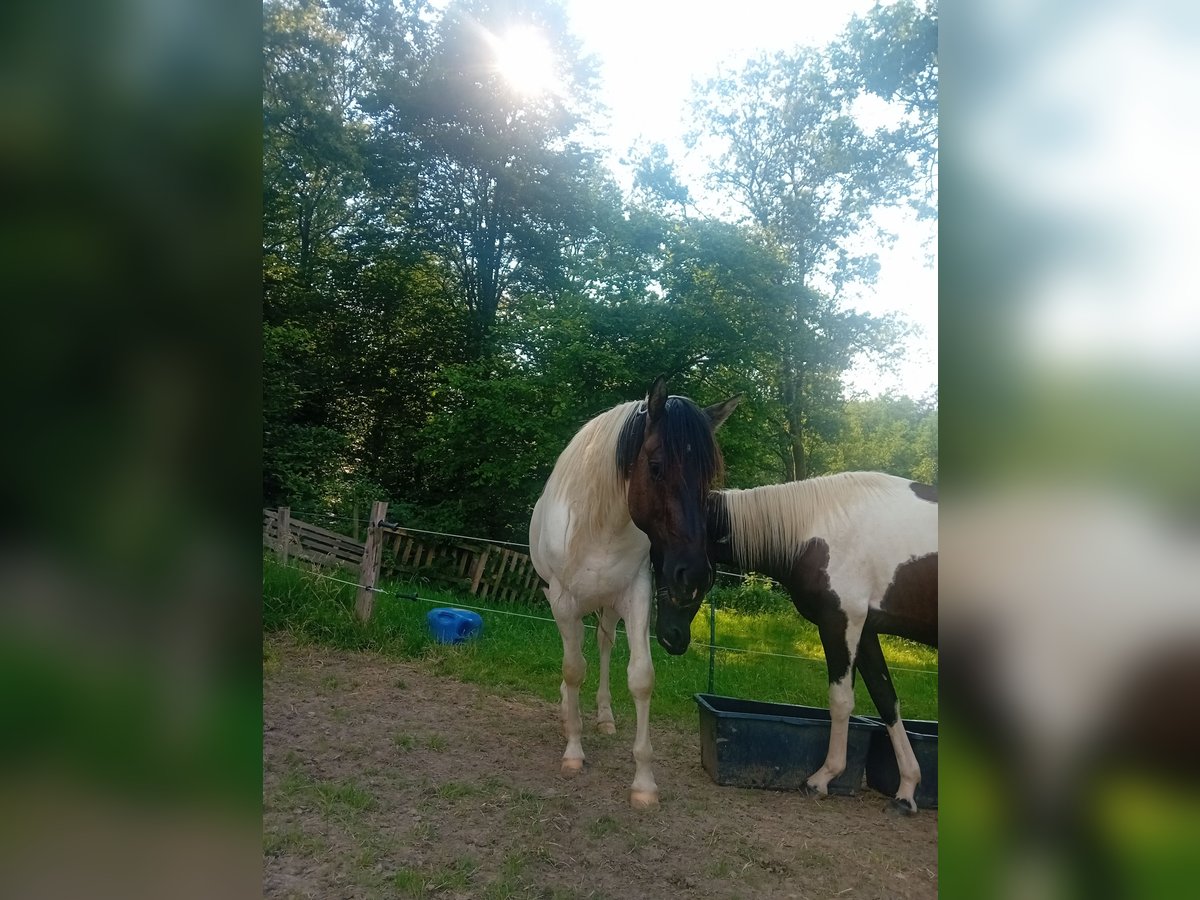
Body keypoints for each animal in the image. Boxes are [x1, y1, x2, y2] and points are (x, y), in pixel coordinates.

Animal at [528, 376, 734, 816]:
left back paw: (604, 716)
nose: (693, 572)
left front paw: (644, 784)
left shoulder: (636, 597)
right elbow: (573, 669)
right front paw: (573, 751)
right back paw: (567, 712)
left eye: (709, 478)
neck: (601, 525)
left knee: (604, 646)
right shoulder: (564, 602)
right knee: (575, 654)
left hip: (608, 606)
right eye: (655, 467)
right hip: (564, 604)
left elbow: (640, 677)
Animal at [652, 472, 931, 816]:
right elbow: (886, 700)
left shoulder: (840, 621)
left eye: (680, 571)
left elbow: (841, 700)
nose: (669, 636)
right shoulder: (864, 631)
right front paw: (906, 791)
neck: (816, 529)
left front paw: (822, 779)